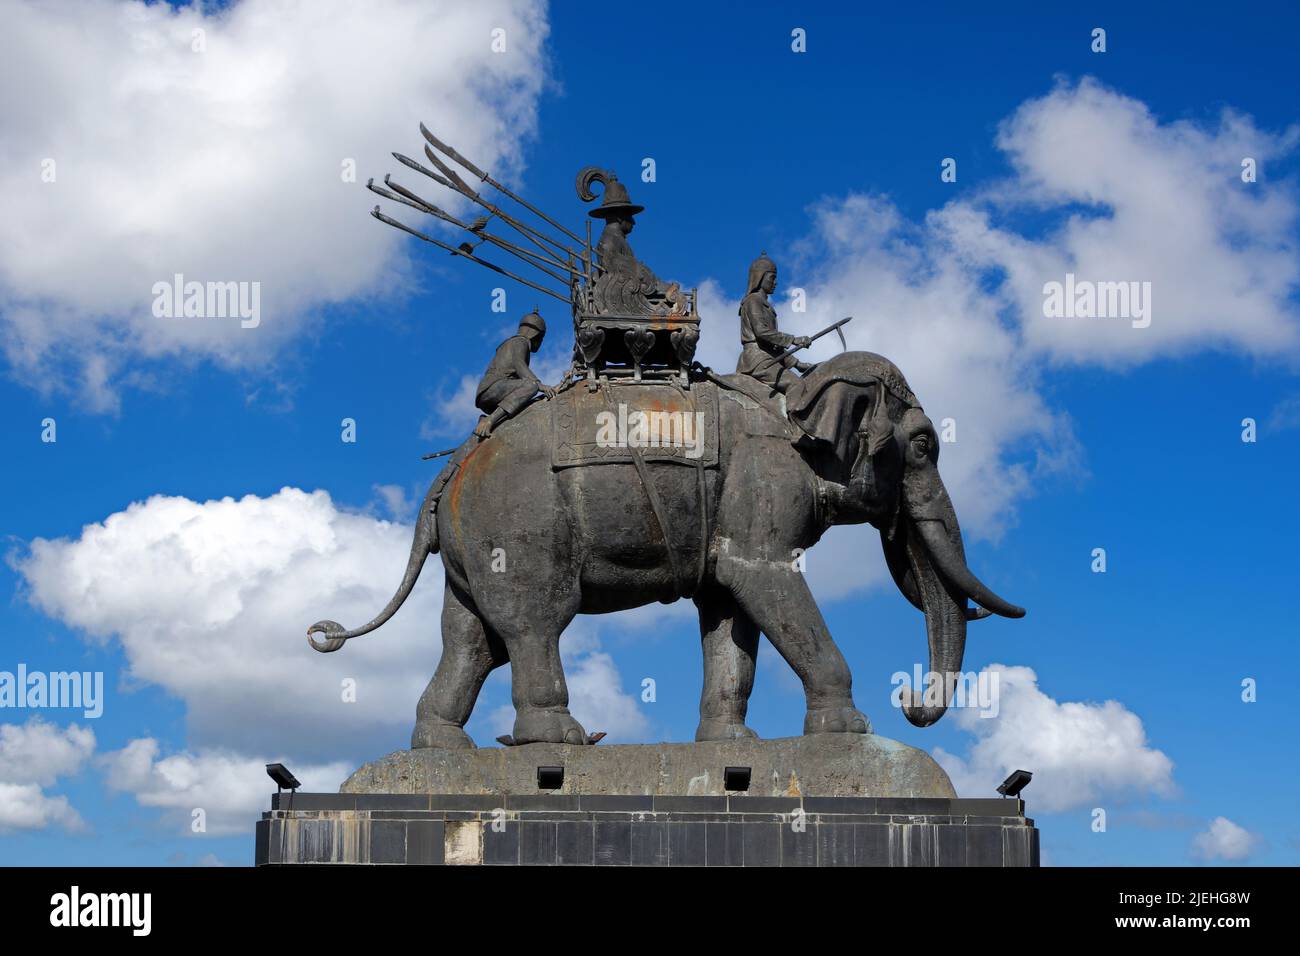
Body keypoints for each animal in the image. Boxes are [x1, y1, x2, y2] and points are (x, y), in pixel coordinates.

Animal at [306, 351, 1024, 749]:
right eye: (925, 445)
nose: (909, 701)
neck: (796, 399)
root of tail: (452, 469)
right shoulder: (765, 476)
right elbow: (762, 576)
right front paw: (850, 730)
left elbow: (730, 602)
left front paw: (735, 744)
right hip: (518, 527)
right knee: (534, 622)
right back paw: (558, 741)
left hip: (473, 542)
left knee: (470, 639)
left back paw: (441, 748)